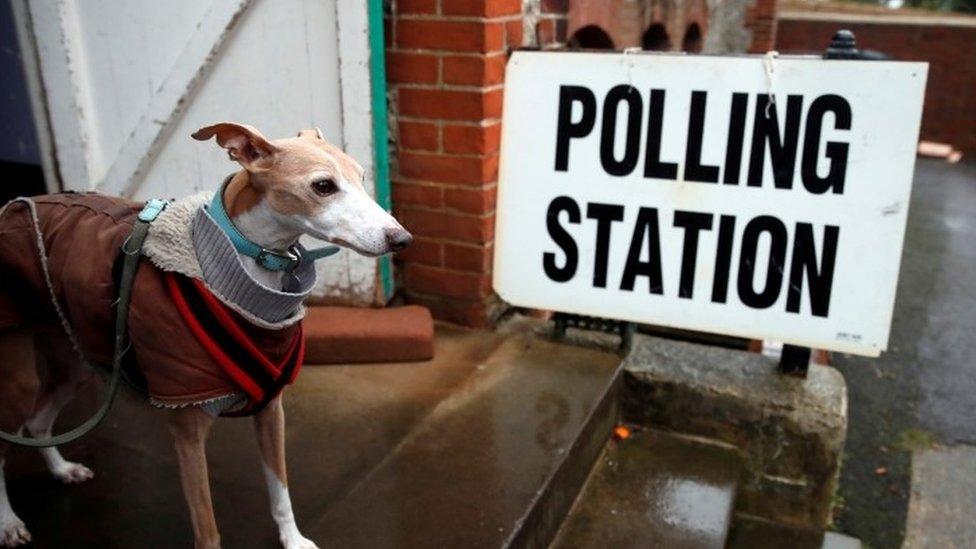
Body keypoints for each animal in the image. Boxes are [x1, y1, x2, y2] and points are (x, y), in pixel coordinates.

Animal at [0, 124, 412, 548]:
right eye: (323, 186)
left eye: (361, 176)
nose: (401, 239)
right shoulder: (186, 431)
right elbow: (208, 530)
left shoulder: (270, 409)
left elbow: (280, 489)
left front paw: (293, 539)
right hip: (17, 377)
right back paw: (8, 523)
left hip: (75, 361)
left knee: (36, 423)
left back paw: (61, 470)